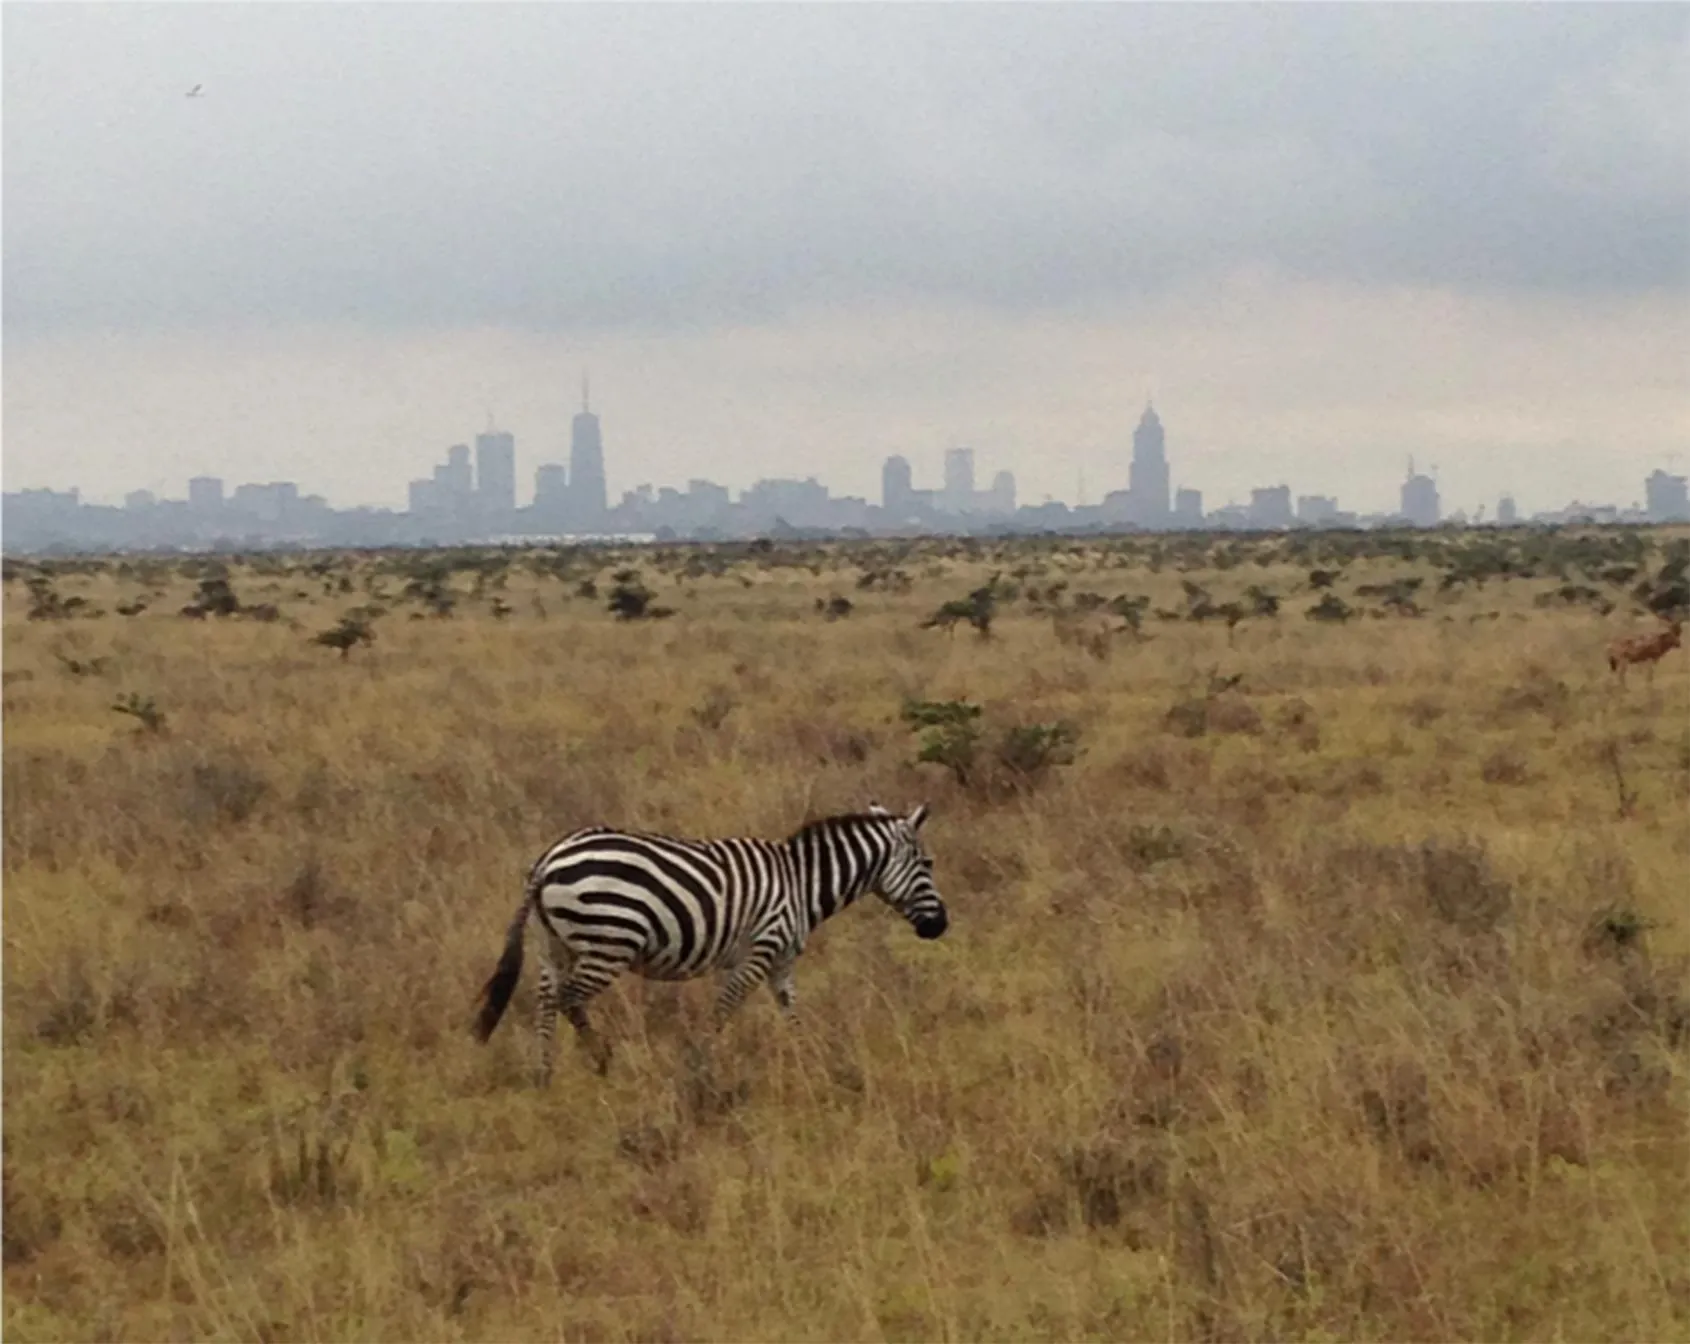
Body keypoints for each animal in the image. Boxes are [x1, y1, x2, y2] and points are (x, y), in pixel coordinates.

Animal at [472, 803, 947, 1081]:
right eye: (927, 864)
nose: (940, 926)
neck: (801, 884)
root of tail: (548, 860)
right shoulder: (760, 950)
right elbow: (724, 1009)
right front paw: (699, 1066)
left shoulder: (781, 962)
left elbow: (792, 1014)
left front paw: (809, 1061)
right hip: (610, 940)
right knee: (571, 998)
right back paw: (603, 1060)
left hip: (554, 944)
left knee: (547, 1001)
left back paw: (544, 1073)